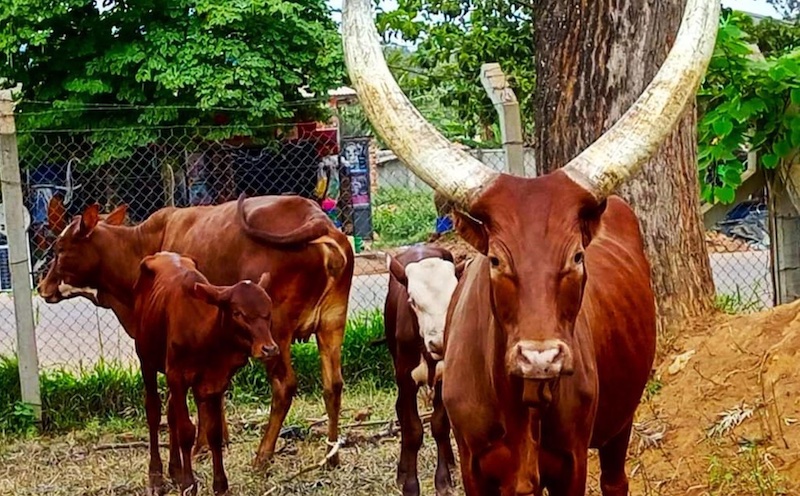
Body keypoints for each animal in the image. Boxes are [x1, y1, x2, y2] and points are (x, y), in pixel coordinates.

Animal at [36, 193, 354, 468]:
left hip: (275, 332)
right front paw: (218, 439)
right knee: (333, 385)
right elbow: (214, 394)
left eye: (60, 249)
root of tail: (318, 219)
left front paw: (201, 446)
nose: (42, 287)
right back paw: (332, 455)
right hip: (332, 322)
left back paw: (263, 456)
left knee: (284, 386)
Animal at [133, 251, 277, 495]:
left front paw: (220, 484)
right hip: (146, 360)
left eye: (268, 311)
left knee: (170, 413)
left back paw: (175, 470)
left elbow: (214, 432)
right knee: (153, 412)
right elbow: (186, 431)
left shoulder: (215, 382)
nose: (269, 348)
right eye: (238, 313)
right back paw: (156, 477)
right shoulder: (177, 376)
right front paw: (189, 484)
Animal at [383, 244, 464, 496]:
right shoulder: (405, 378)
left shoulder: (444, 375)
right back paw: (401, 471)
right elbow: (412, 430)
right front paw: (410, 484)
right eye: (413, 301)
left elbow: (440, 424)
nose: (439, 343)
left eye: (453, 298)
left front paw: (443, 480)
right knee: (400, 410)